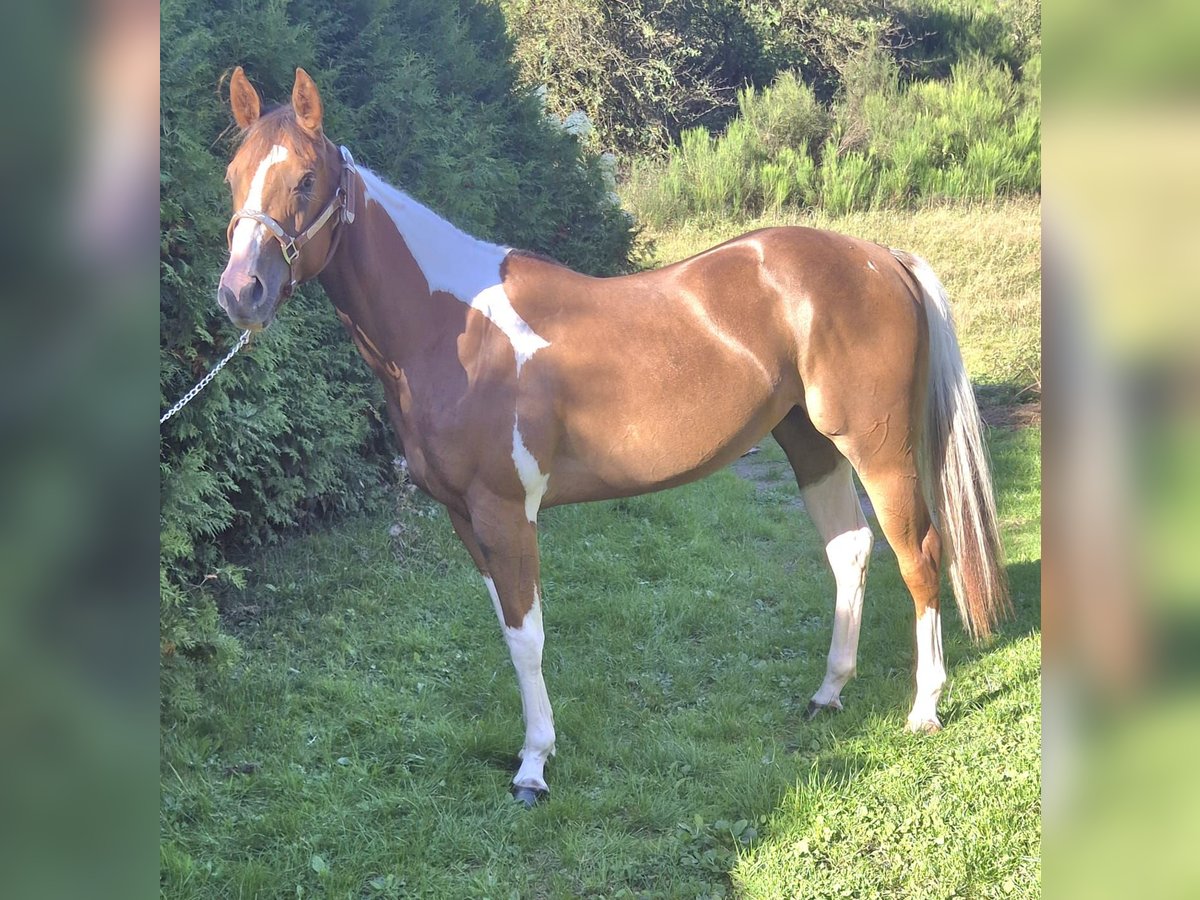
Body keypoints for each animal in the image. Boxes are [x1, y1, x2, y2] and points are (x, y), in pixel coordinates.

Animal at [217, 67, 1009, 806]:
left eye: (305, 179)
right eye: (232, 176)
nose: (239, 293)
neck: (452, 326)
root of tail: (880, 257)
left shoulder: (506, 513)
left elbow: (529, 635)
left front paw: (534, 766)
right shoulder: (464, 518)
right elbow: (508, 631)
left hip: (877, 448)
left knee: (920, 553)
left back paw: (924, 707)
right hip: (811, 443)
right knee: (850, 550)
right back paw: (829, 693)